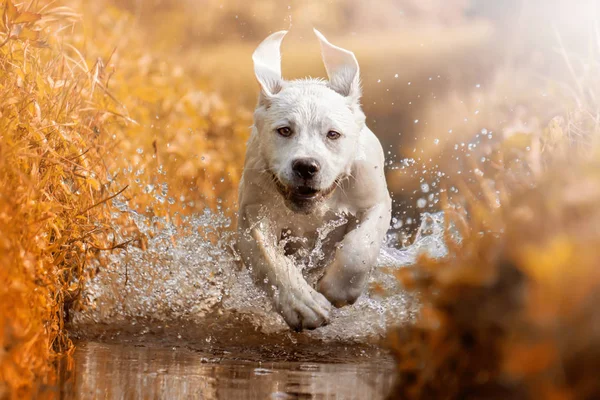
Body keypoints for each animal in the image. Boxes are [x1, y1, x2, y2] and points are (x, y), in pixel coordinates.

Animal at [237, 28, 392, 332]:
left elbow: (360, 247)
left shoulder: (376, 200)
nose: (306, 166)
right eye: (284, 130)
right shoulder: (253, 213)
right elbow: (269, 257)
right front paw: (302, 304)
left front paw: (338, 289)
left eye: (333, 134)